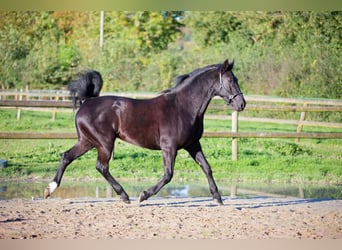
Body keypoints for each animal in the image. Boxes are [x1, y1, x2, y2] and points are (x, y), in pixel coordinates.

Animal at [44, 59, 246, 204]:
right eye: (230, 80)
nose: (242, 104)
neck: (184, 107)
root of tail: (87, 101)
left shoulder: (192, 145)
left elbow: (206, 167)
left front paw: (218, 198)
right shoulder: (169, 147)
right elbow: (168, 174)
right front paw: (144, 195)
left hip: (87, 141)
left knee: (67, 156)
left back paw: (49, 189)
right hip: (104, 143)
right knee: (101, 166)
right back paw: (125, 196)